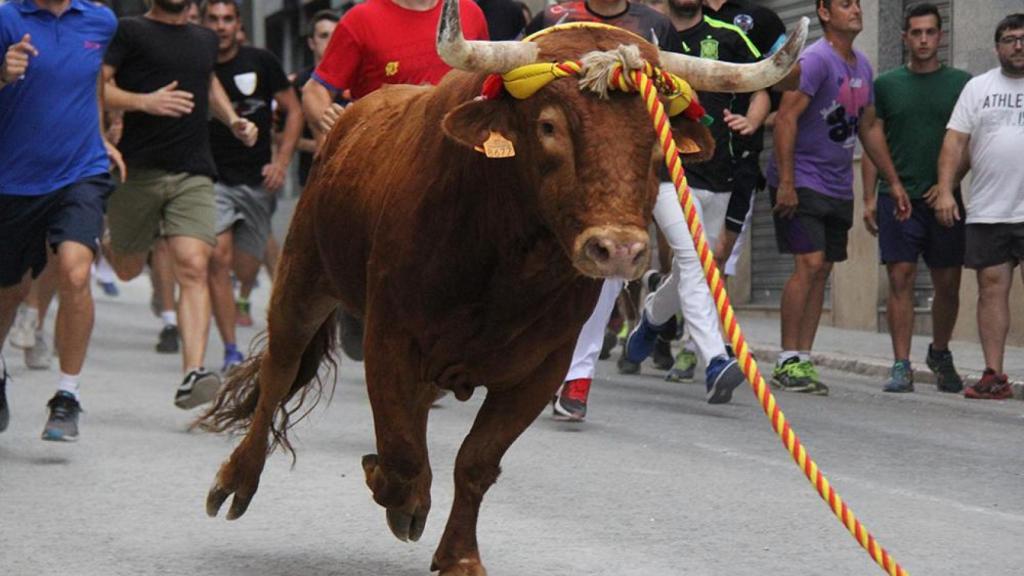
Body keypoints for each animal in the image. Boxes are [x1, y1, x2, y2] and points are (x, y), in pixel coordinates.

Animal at [197, 2, 806, 569]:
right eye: (549, 126)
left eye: (657, 143)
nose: (619, 249)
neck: (508, 265)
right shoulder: (389, 340)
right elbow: (399, 454)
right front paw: (399, 497)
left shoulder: (540, 370)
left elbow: (475, 461)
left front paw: (458, 555)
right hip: (303, 277)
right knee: (279, 371)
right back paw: (235, 480)